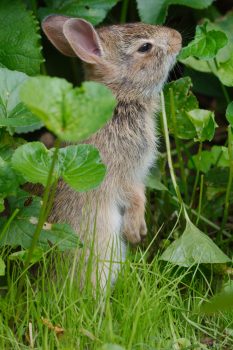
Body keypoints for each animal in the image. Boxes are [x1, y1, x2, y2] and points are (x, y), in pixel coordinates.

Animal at [41, 15, 181, 290]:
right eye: (145, 47)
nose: (178, 38)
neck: (119, 99)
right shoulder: (121, 172)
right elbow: (134, 196)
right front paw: (135, 231)